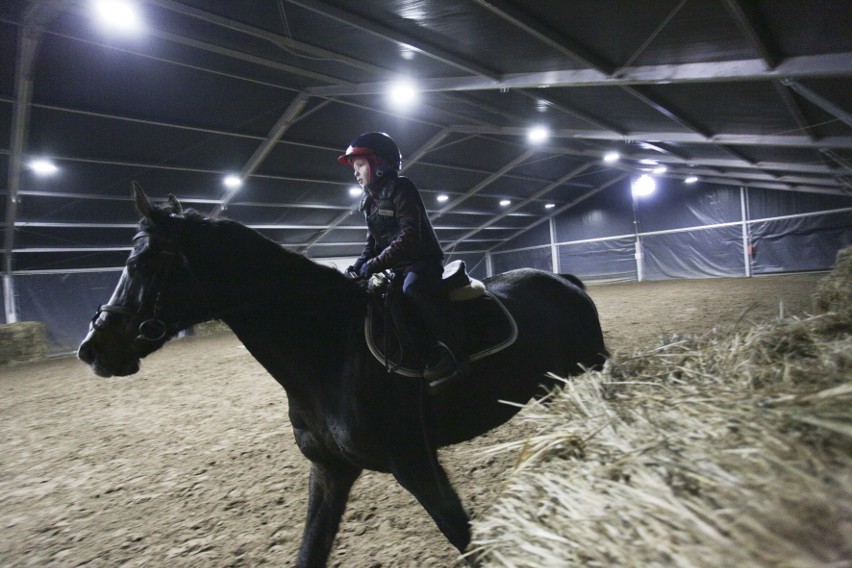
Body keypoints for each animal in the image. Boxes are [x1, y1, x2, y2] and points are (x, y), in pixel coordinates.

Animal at [78, 185, 604, 564]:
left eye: (139, 263)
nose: (92, 349)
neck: (329, 351)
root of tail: (563, 281)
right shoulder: (330, 471)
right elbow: (310, 551)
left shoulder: (416, 463)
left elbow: (466, 540)